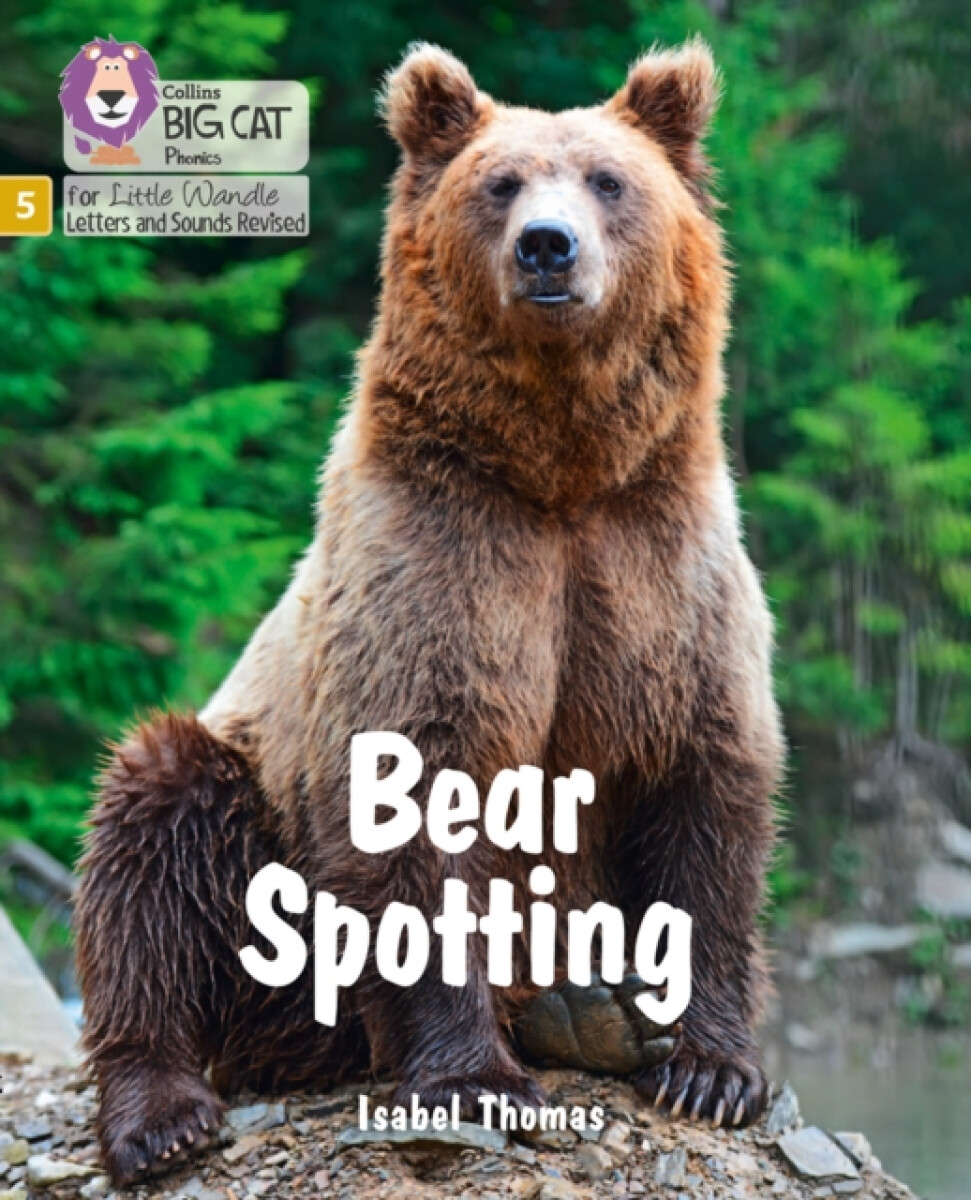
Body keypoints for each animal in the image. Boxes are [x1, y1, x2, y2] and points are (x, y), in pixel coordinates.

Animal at [75, 39, 783, 1185]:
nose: (546, 248)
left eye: (607, 179)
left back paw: (586, 1012)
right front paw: (474, 1080)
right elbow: (415, 798)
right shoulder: (436, 564)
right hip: (254, 835)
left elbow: (706, 794)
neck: (558, 471)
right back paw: (161, 1112)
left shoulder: (659, 571)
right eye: (499, 184)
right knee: (152, 836)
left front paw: (710, 1068)